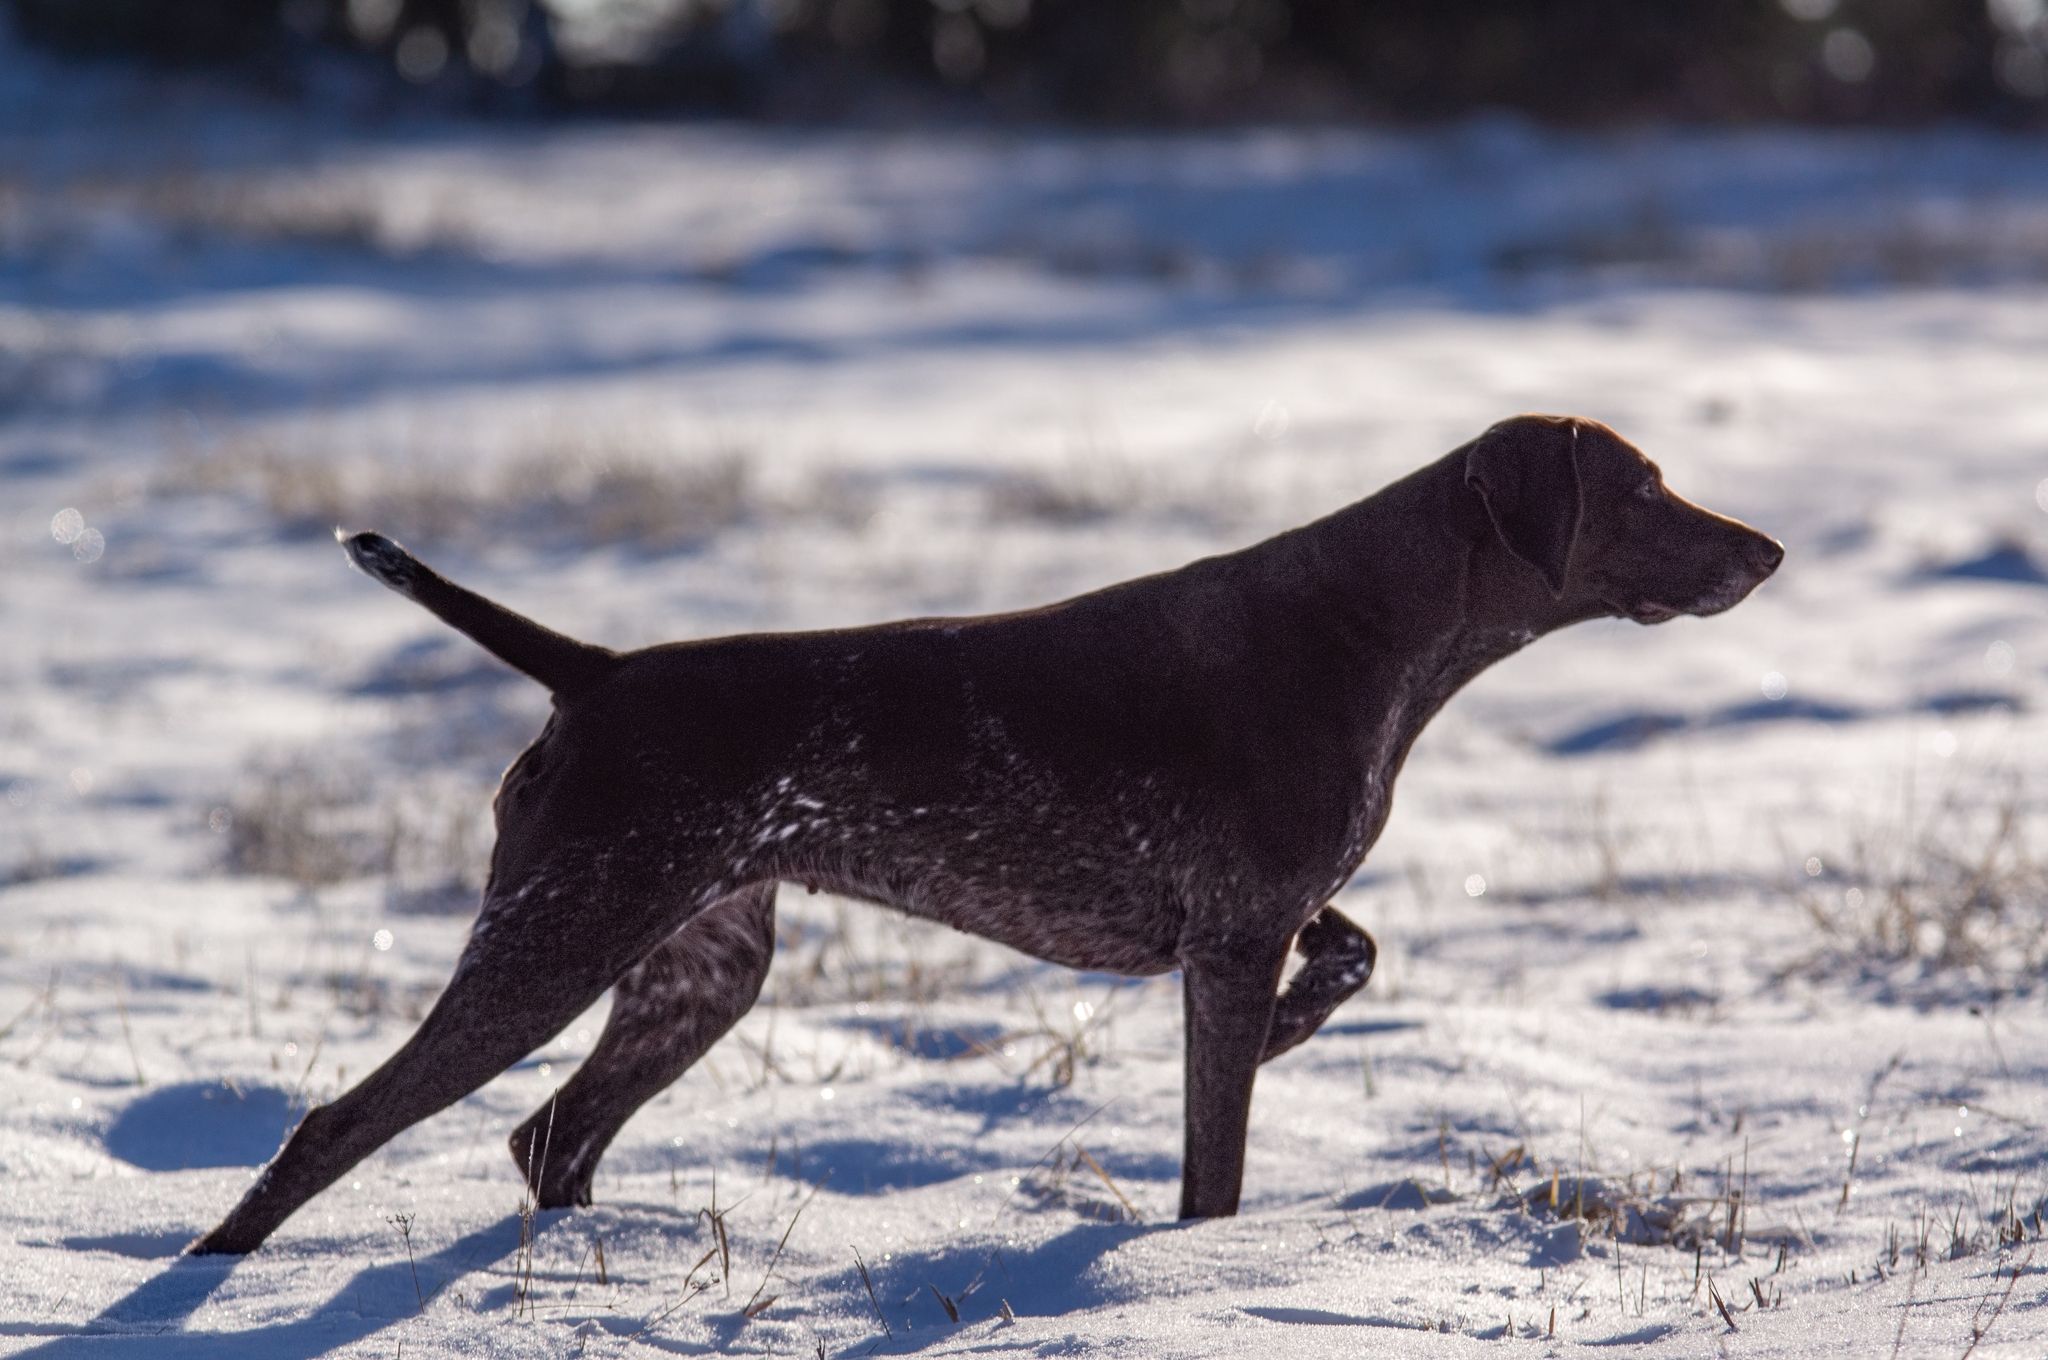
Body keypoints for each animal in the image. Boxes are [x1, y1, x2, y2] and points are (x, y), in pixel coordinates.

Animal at [191, 414, 1781, 1253]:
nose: (1766, 551)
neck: (1374, 627)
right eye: (1640, 490)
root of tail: (596, 671)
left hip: (695, 969)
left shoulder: (1249, 921)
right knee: (337, 1126)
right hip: (556, 944)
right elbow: (1216, 1168)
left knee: (549, 1136)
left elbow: (1354, 951)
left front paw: (1297, 1026)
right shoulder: (1231, 935)